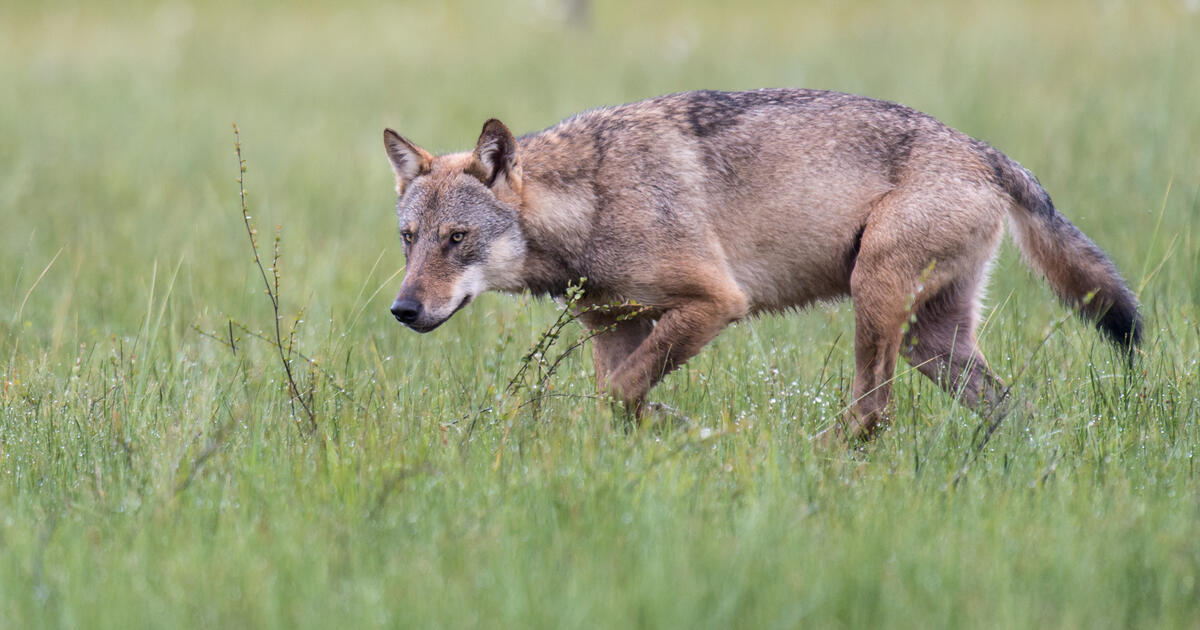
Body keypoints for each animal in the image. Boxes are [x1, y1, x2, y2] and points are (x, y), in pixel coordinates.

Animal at [381, 88, 1132, 439]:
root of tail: (985, 152)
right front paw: (675, 433)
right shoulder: (614, 328)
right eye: (409, 238)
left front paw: (692, 432)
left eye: (456, 238)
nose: (403, 310)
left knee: (873, 413)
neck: (589, 200)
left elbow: (621, 394)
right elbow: (618, 398)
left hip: (875, 298)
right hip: (931, 342)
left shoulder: (716, 303)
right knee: (1011, 410)